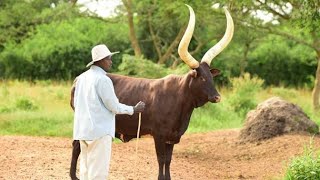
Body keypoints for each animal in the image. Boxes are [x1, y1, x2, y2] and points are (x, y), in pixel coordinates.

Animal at [69, 5, 232, 180]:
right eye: (201, 78)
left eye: (211, 77)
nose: (217, 97)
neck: (179, 98)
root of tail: (77, 80)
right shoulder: (159, 136)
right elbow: (161, 160)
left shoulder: (171, 138)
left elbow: (168, 161)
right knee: (77, 146)